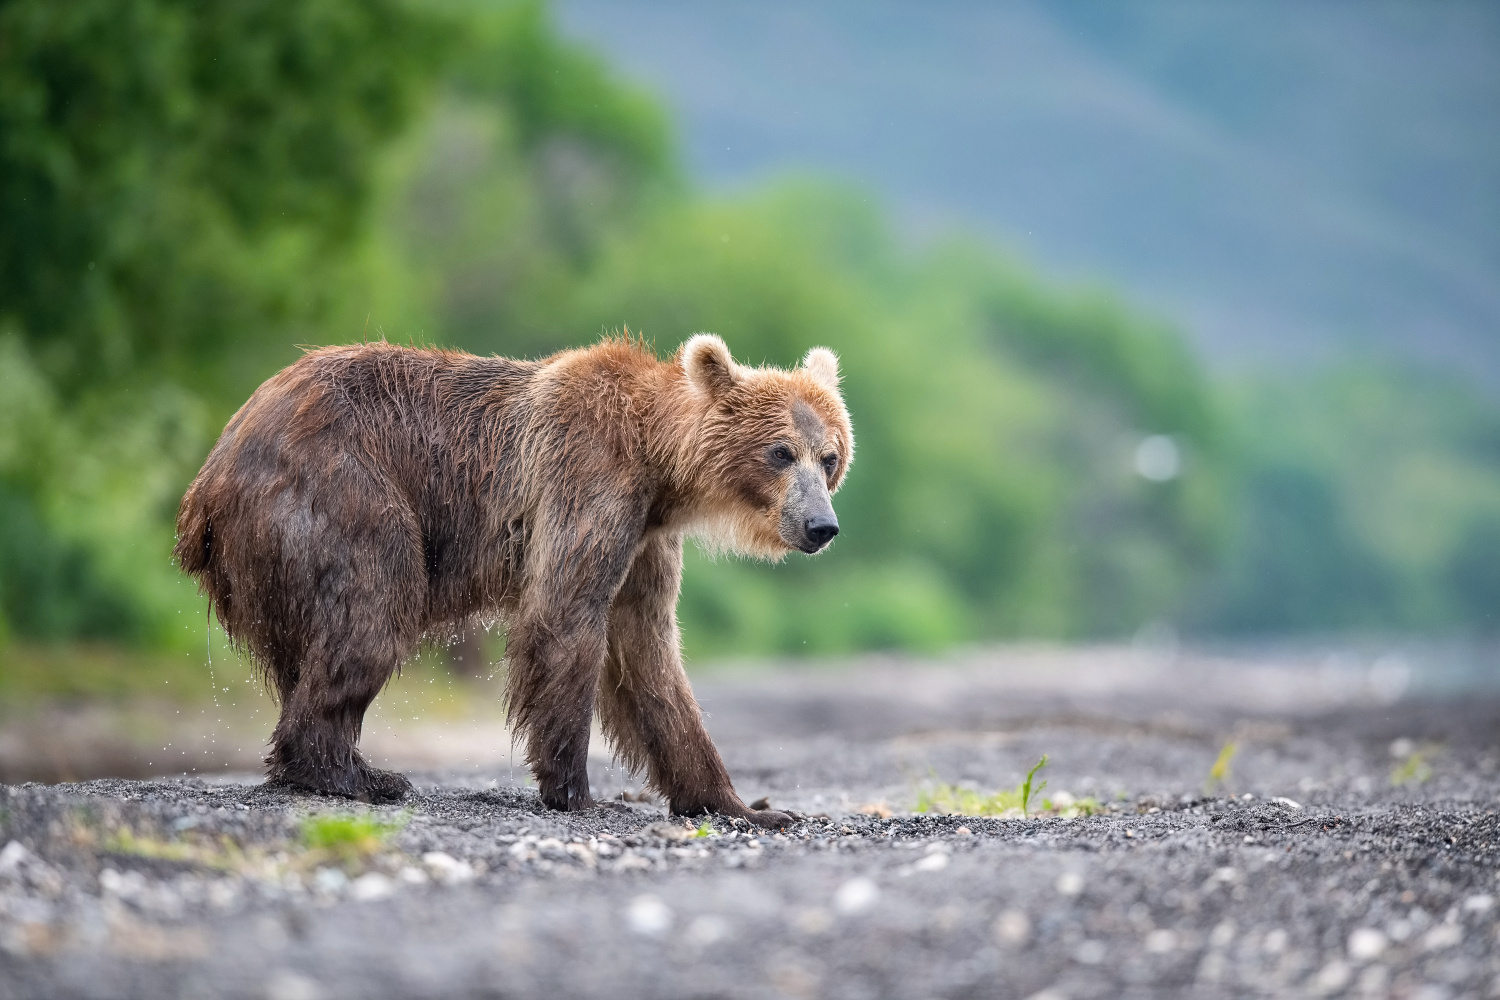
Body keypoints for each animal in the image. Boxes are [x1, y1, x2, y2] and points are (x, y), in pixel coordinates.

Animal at [174, 335, 852, 827]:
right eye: (780, 452)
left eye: (830, 456)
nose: (822, 525)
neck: (657, 463)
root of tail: (207, 479)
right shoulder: (587, 481)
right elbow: (565, 619)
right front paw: (576, 790)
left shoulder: (645, 539)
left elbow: (649, 656)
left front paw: (746, 806)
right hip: (341, 492)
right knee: (372, 609)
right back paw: (360, 775)